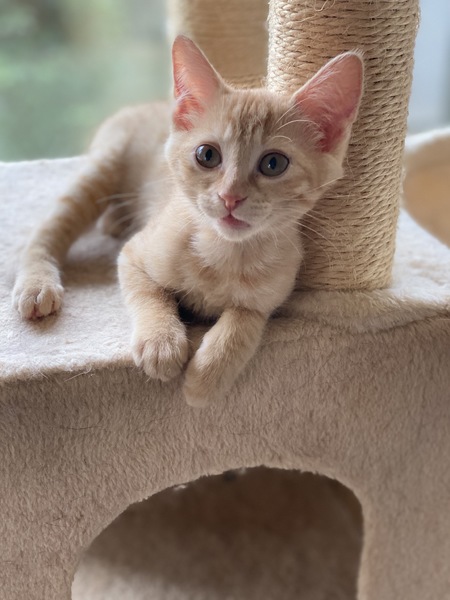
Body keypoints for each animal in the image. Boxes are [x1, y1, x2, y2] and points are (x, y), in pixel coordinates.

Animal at [12, 35, 363, 406]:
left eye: (274, 164)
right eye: (207, 155)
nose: (230, 197)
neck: (225, 254)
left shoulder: (270, 297)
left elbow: (244, 321)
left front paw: (206, 377)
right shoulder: (133, 256)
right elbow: (149, 295)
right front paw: (160, 343)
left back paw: (116, 220)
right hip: (101, 167)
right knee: (48, 230)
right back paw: (37, 285)